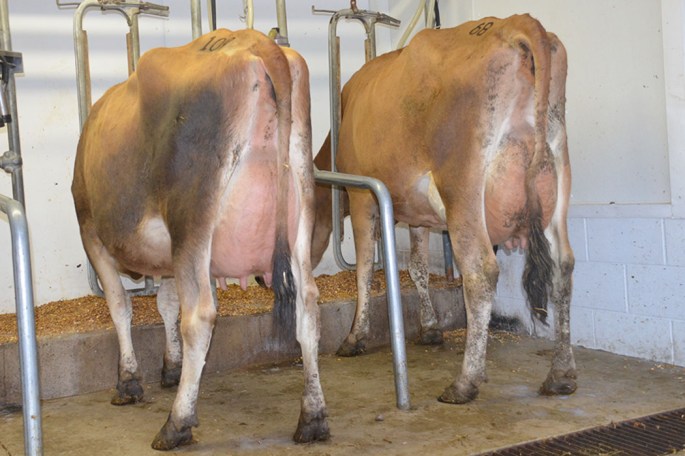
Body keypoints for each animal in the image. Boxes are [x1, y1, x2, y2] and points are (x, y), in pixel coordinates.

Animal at [71, 29, 329, 450]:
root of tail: (256, 41)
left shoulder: (91, 231)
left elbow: (121, 306)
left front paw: (128, 381)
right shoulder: (167, 257)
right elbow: (166, 304)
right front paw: (170, 367)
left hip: (191, 218)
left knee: (200, 317)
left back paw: (176, 424)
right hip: (299, 215)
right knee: (308, 308)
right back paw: (313, 417)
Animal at [311, 14, 577, 404]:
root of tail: (515, 24)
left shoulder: (362, 197)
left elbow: (363, 269)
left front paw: (354, 337)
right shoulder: (418, 215)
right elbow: (418, 268)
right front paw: (431, 327)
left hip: (462, 191)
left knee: (480, 273)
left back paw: (465, 382)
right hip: (557, 184)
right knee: (563, 268)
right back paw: (561, 374)